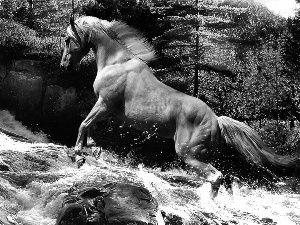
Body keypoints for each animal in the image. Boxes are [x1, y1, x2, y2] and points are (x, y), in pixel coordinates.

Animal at [59, 15, 298, 198]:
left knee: (216, 177)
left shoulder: (104, 104)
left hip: (188, 153)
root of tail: (216, 120)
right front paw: (92, 147)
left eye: (68, 39)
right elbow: (90, 126)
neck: (117, 62)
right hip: (204, 155)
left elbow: (84, 123)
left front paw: (79, 153)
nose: (64, 65)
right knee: (225, 179)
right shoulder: (106, 108)